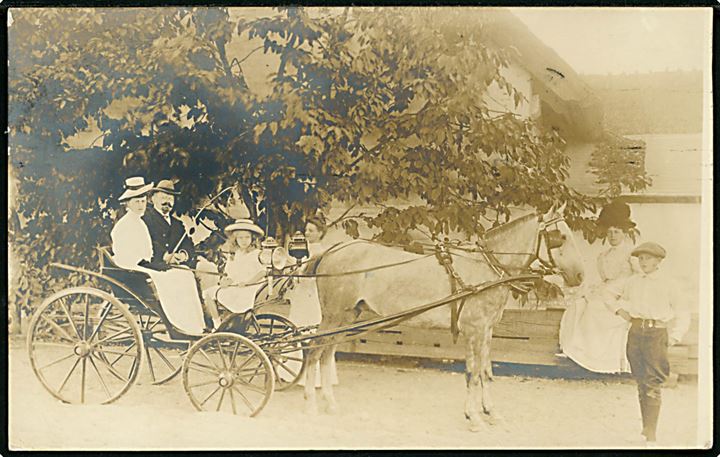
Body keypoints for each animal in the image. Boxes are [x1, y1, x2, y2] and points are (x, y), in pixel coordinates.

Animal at [304, 205, 584, 430]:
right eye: (561, 237)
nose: (580, 275)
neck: (487, 268)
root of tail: (332, 250)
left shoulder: (487, 331)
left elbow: (486, 371)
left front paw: (490, 412)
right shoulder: (473, 330)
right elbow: (473, 372)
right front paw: (474, 417)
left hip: (347, 316)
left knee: (327, 354)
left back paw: (330, 402)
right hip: (332, 316)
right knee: (314, 351)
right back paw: (310, 402)